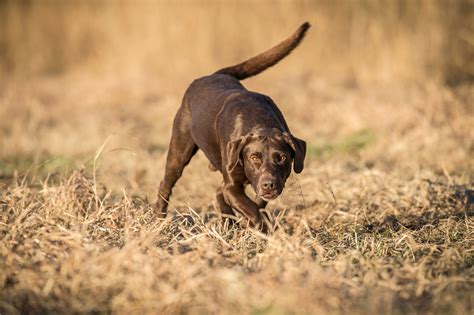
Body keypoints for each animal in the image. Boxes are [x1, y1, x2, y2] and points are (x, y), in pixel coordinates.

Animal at [156, 21, 312, 231]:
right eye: (254, 157)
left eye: (281, 157)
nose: (269, 184)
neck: (258, 120)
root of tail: (213, 75)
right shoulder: (233, 186)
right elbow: (251, 208)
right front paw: (263, 228)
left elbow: (256, 204)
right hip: (179, 152)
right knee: (166, 183)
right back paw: (158, 219)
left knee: (218, 191)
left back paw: (228, 224)